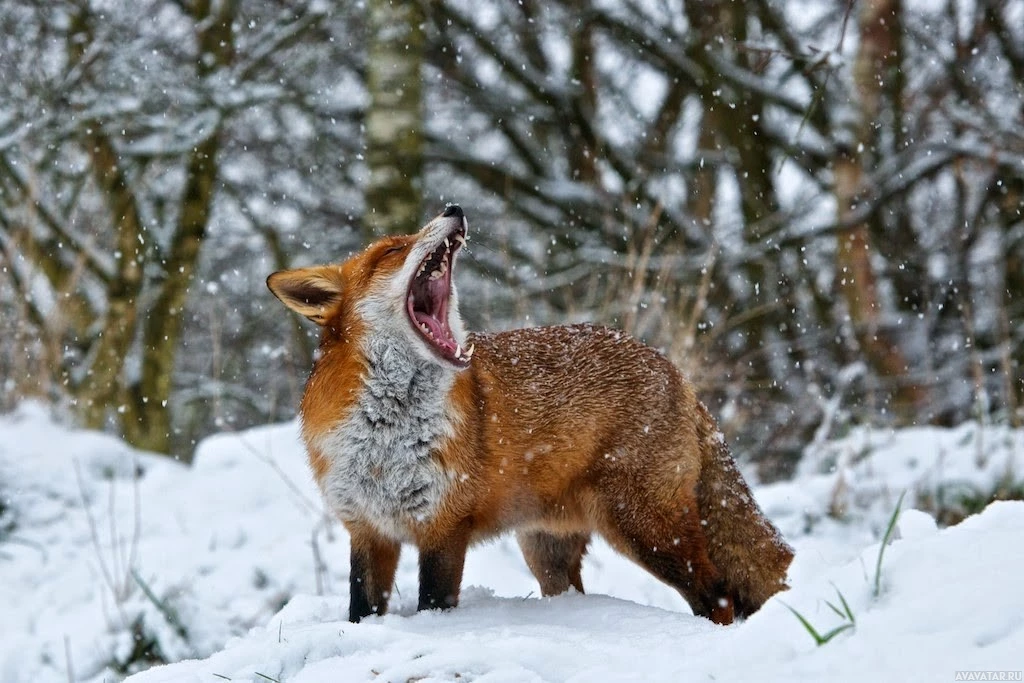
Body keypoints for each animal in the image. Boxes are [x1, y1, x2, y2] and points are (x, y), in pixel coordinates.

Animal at [266, 206, 790, 626]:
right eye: (393, 250)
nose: (454, 208)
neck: (387, 439)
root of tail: (672, 368)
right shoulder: (367, 528)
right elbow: (361, 609)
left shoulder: (444, 525)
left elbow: (434, 601)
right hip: (547, 550)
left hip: (646, 529)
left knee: (718, 594)